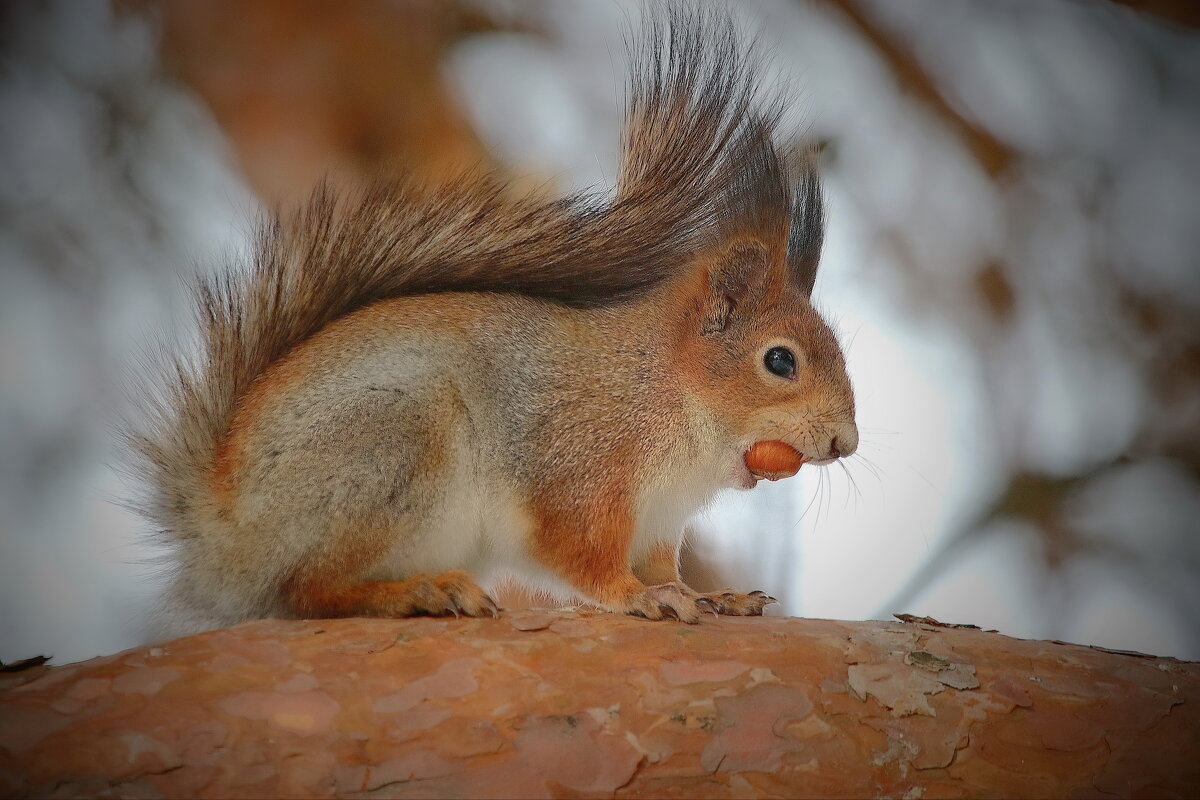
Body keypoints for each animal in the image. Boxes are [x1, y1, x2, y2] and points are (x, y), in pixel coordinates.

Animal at [126, 4, 859, 633]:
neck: (671, 399)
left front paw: (713, 595)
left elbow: (662, 566)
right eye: (780, 360)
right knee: (306, 589)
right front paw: (640, 597)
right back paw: (417, 592)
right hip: (388, 445)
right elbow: (583, 558)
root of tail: (224, 533)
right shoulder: (579, 470)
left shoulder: (657, 522)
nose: (845, 443)